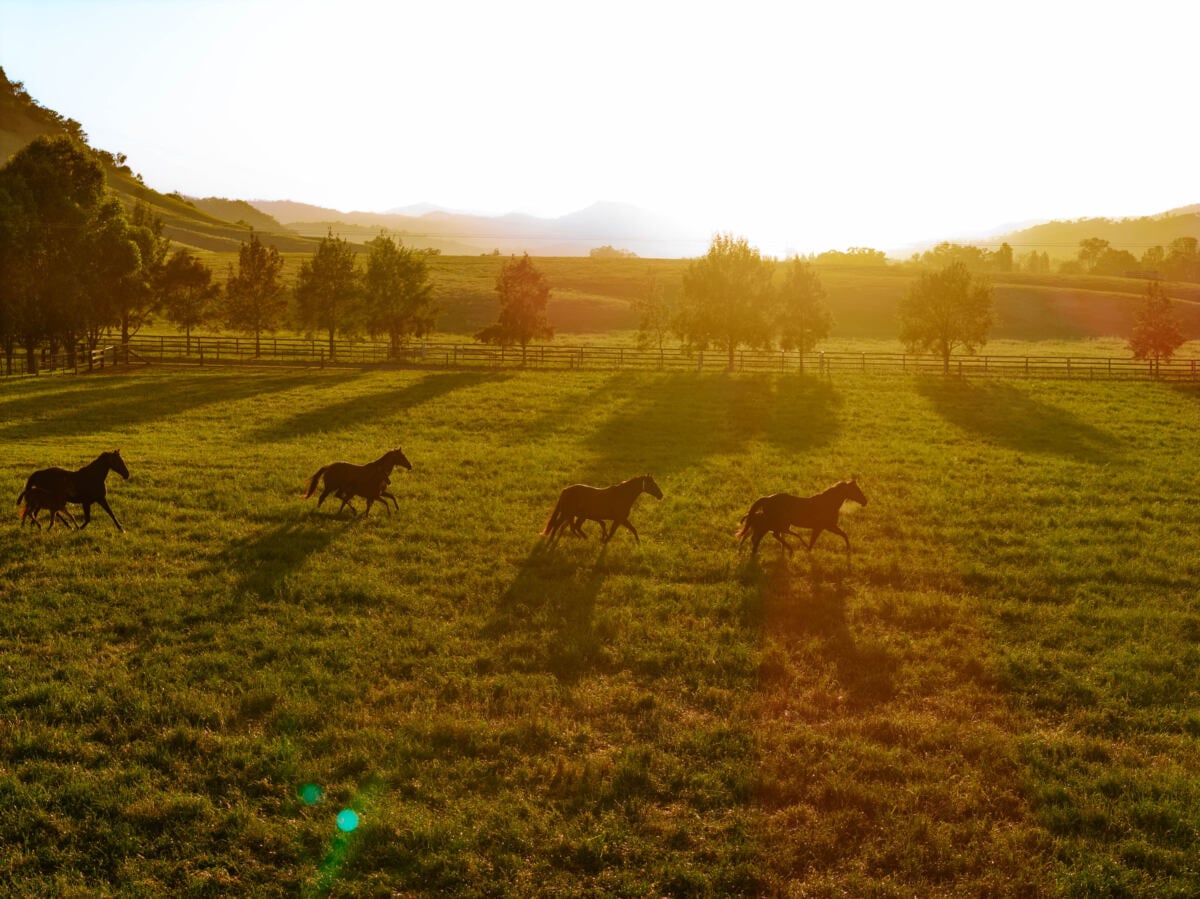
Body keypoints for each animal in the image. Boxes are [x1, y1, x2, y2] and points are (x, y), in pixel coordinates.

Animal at [736, 479, 868, 556]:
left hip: (777, 524)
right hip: (774, 523)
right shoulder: (826, 527)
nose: (865, 501)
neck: (827, 503)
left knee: (769, 535)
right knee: (766, 535)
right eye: (856, 490)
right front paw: (849, 551)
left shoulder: (825, 527)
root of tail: (767, 498)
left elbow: (842, 535)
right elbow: (840, 536)